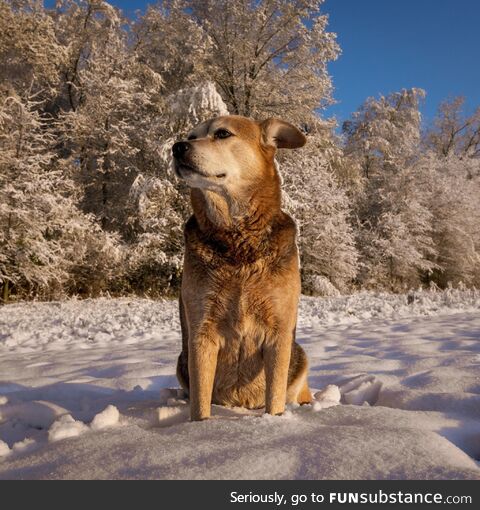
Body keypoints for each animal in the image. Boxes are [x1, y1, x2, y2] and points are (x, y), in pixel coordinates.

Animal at [172, 116, 312, 422]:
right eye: (191, 135)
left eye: (223, 133)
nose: (177, 147)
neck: (238, 244)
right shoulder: (202, 332)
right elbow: (200, 403)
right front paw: (198, 427)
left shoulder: (278, 334)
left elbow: (275, 399)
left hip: (298, 358)